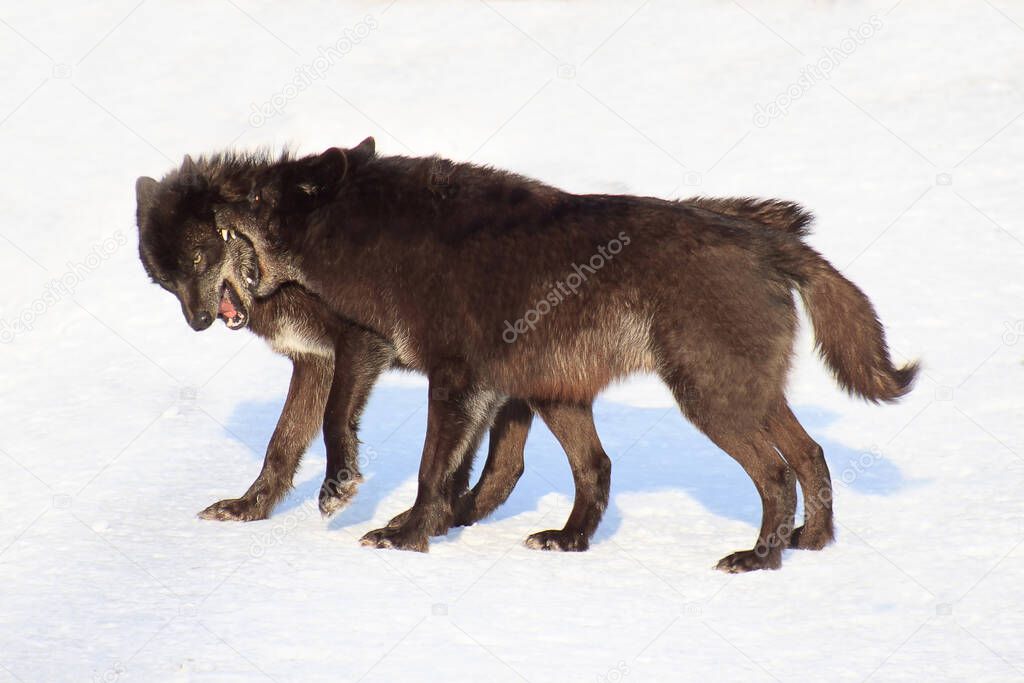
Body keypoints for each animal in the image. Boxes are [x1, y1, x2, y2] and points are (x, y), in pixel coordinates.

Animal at [211, 139, 917, 573]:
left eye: (255, 198)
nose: (211, 193)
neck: (380, 239)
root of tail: (769, 241)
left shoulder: (457, 382)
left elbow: (433, 471)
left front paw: (407, 538)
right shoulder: (498, 391)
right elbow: (474, 476)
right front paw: (422, 527)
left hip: (708, 402)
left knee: (775, 472)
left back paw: (759, 559)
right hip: (675, 396)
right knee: (800, 456)